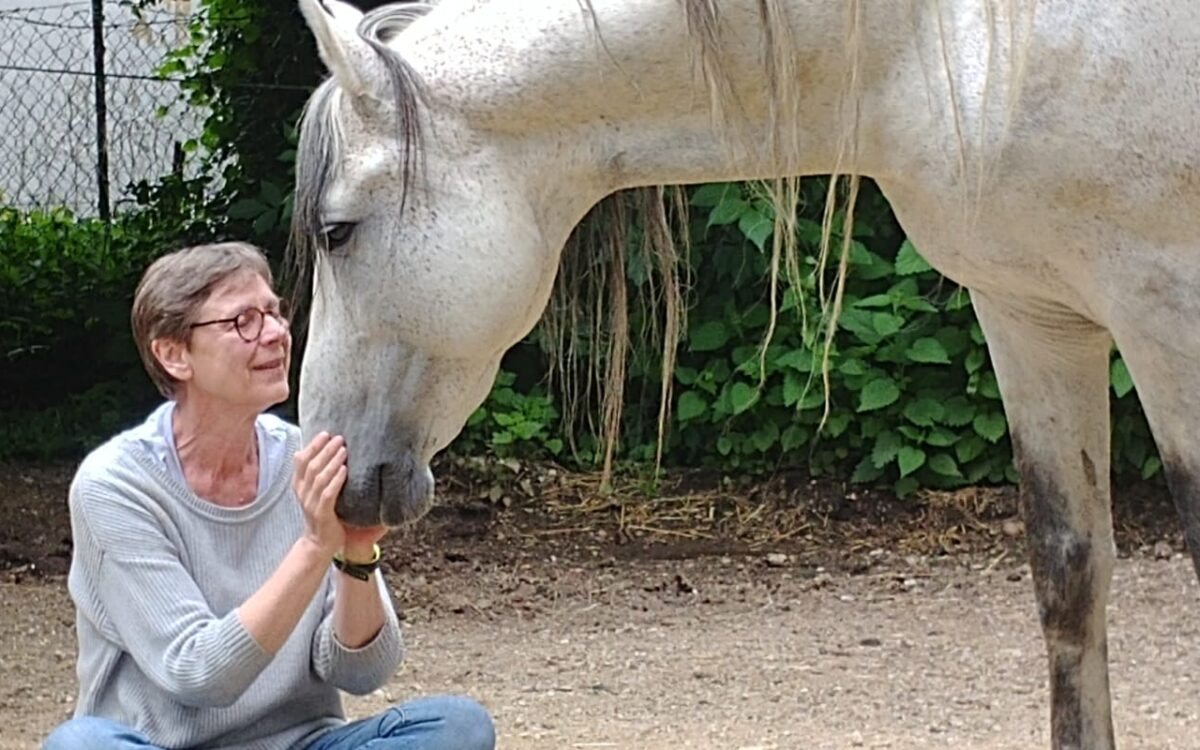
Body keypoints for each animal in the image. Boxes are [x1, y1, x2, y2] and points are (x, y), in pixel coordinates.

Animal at [290, 2, 1200, 744]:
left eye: (337, 232)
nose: (330, 468)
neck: (945, 38)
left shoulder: (1163, 315)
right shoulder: (1032, 315)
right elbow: (1068, 575)